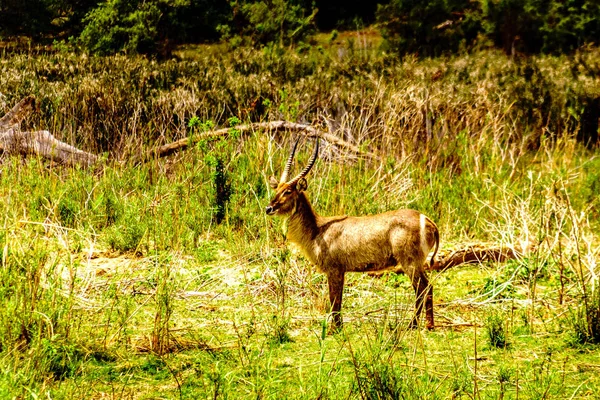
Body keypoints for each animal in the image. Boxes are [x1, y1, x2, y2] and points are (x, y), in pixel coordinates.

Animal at [264, 138, 438, 332]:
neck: (317, 229)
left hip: (410, 262)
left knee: (424, 289)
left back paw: (415, 326)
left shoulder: (334, 269)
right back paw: (425, 325)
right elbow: (338, 300)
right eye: (277, 189)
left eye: (288, 191)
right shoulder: (341, 271)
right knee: (426, 288)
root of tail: (427, 220)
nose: (268, 208)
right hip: (417, 263)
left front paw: (333, 330)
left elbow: (333, 300)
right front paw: (338, 327)